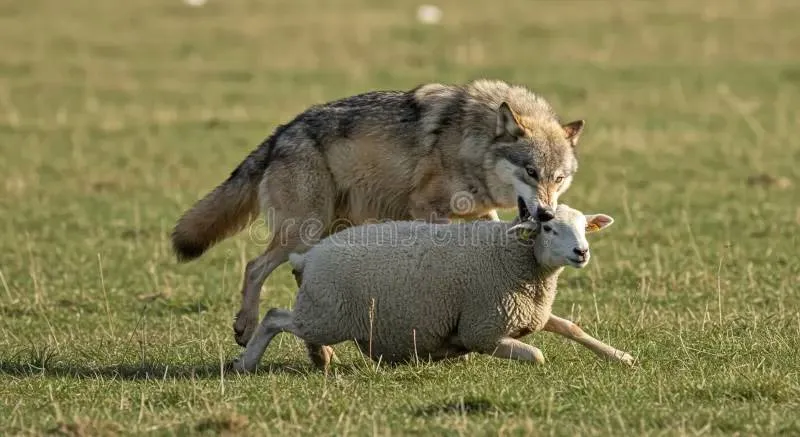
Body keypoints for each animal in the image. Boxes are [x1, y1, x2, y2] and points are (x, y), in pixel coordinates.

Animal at [171, 79, 586, 346]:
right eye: (530, 172)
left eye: (558, 178)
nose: (546, 214)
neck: (471, 140)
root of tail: (280, 133)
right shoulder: (427, 209)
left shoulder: (483, 215)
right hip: (304, 229)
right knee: (254, 267)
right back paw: (246, 328)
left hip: (327, 232)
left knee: (294, 274)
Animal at [232, 201, 635, 373]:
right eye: (549, 228)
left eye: (584, 227)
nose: (582, 252)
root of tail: (308, 257)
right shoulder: (482, 329)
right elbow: (537, 355)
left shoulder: (528, 313)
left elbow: (572, 327)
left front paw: (621, 357)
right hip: (328, 314)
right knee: (275, 317)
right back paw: (246, 362)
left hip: (322, 309)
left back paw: (317, 358)